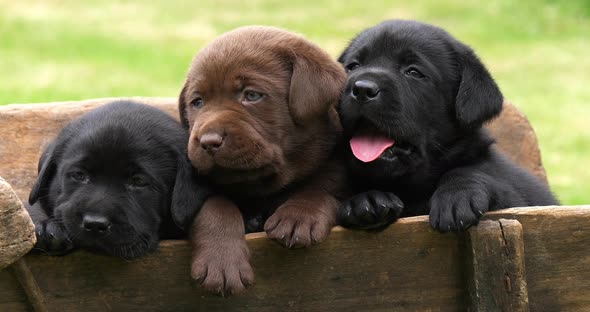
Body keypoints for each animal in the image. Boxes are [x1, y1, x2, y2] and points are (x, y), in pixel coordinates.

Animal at [338, 18, 560, 229]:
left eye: (414, 72)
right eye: (353, 66)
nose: (362, 89)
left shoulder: (518, 203)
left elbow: (470, 172)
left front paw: (457, 196)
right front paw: (367, 199)